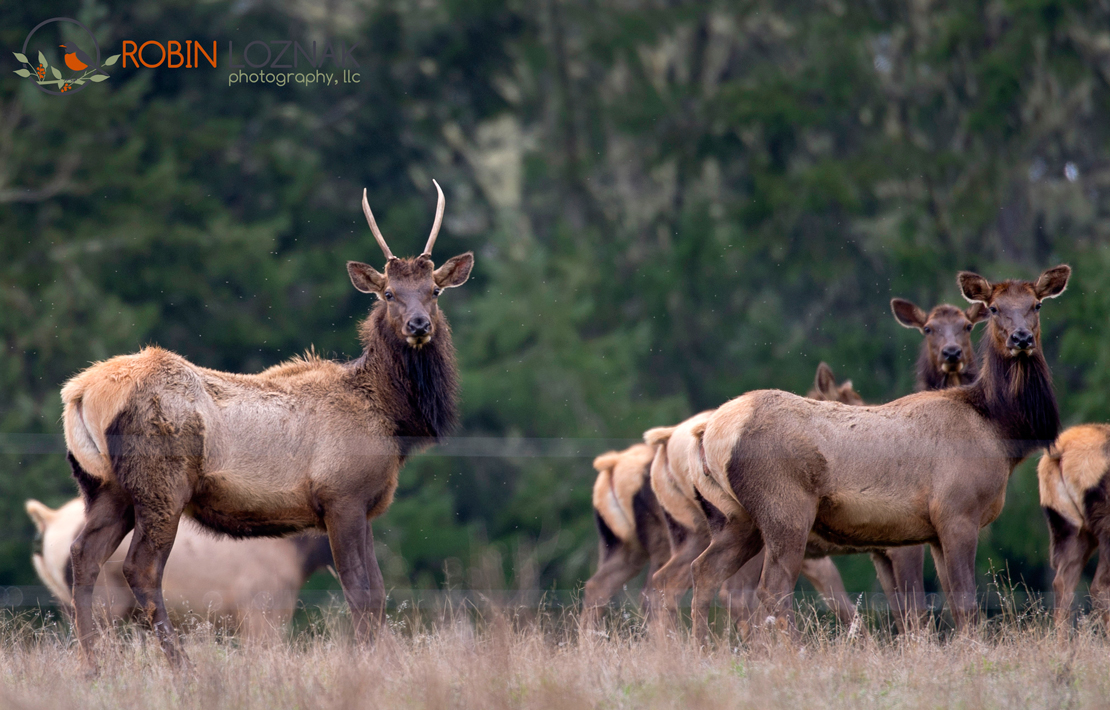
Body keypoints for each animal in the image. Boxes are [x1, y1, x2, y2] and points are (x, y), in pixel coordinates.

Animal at [60, 181, 473, 669]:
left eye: (434, 290)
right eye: (388, 293)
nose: (418, 324)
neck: (393, 418)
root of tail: (79, 393)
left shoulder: (364, 502)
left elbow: (376, 593)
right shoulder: (342, 494)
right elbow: (360, 590)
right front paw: (365, 665)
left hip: (108, 487)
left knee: (83, 554)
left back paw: (92, 663)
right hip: (161, 482)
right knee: (140, 567)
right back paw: (181, 666)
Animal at [689, 265, 1069, 638]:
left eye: (1036, 305)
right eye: (993, 308)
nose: (1021, 338)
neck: (1000, 432)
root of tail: (710, 434)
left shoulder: (933, 531)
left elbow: (945, 606)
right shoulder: (956, 511)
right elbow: (961, 605)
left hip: (737, 518)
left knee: (704, 571)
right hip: (785, 508)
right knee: (770, 590)